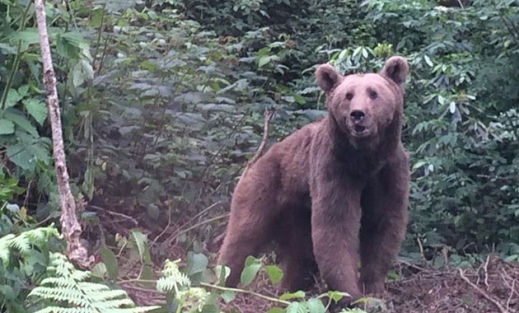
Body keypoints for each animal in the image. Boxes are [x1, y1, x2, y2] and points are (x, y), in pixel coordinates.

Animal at [217, 54, 412, 306]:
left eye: (373, 92)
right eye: (348, 95)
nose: (358, 114)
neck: (365, 159)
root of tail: (257, 159)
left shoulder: (389, 171)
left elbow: (383, 222)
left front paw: (373, 289)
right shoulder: (334, 168)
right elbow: (335, 224)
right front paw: (349, 294)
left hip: (297, 210)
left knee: (302, 252)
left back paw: (288, 290)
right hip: (263, 187)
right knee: (242, 237)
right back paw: (221, 285)